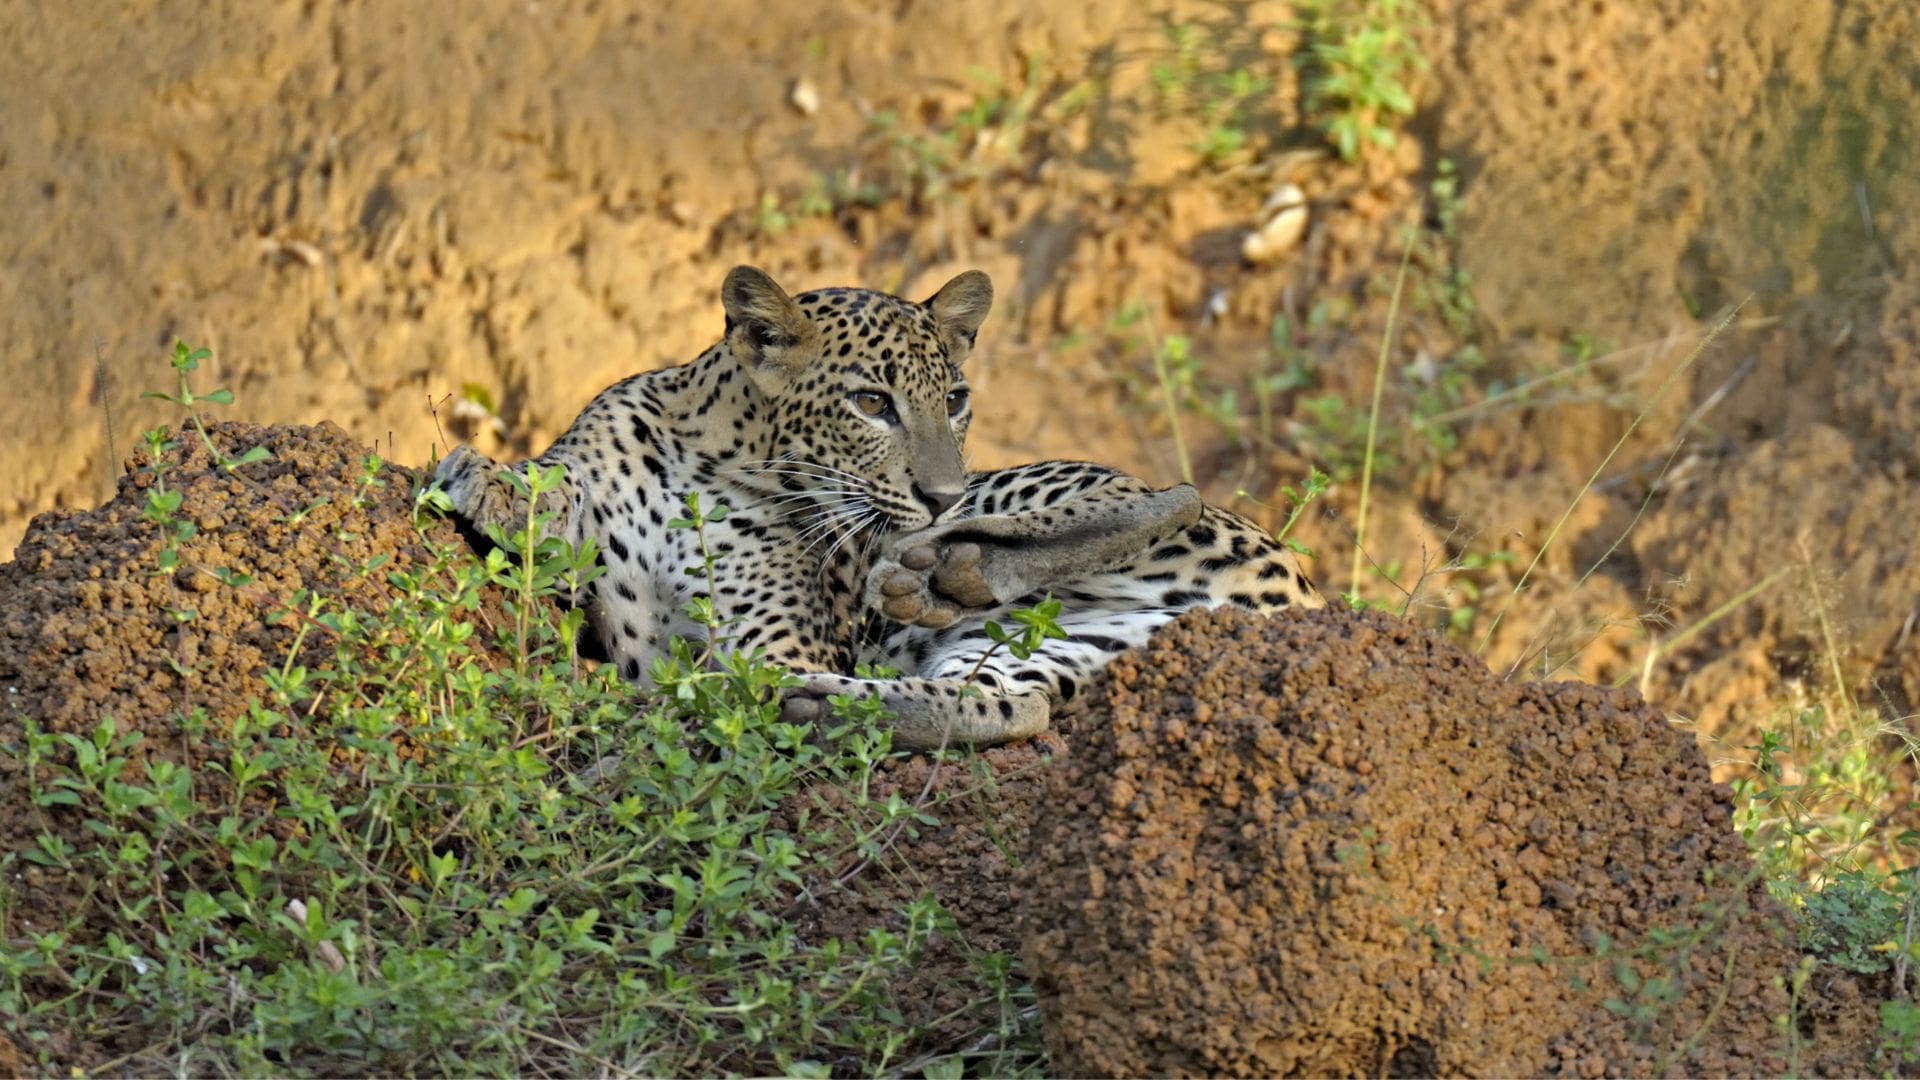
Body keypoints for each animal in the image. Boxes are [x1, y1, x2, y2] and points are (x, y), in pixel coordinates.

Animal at [439, 263, 1320, 745]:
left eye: (955, 400)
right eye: (871, 403)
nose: (939, 494)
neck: (706, 458)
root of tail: (1296, 601)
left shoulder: (778, 634)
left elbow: (757, 654)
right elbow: (553, 486)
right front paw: (485, 481)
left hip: (1038, 490)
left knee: (1164, 494)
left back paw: (939, 575)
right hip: (1052, 646)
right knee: (1009, 707)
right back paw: (825, 692)